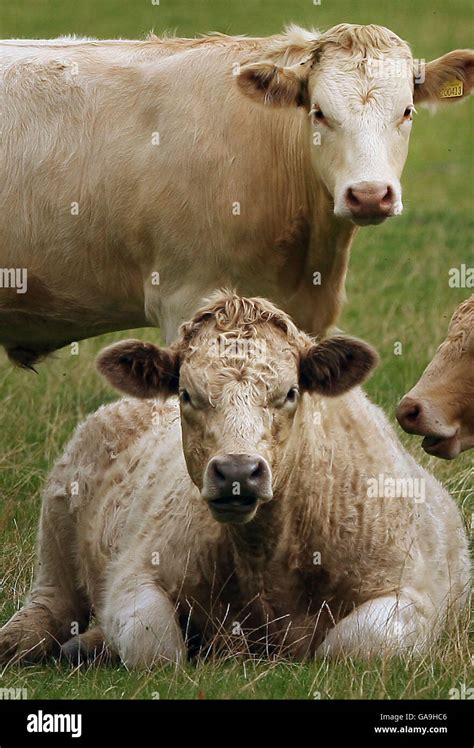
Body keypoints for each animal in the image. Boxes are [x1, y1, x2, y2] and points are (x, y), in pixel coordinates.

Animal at [0, 292, 466, 668]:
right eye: (187, 394)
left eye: (290, 393)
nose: (238, 472)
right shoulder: (133, 575)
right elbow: (157, 648)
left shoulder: (412, 596)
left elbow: (351, 647)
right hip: (58, 526)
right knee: (50, 606)